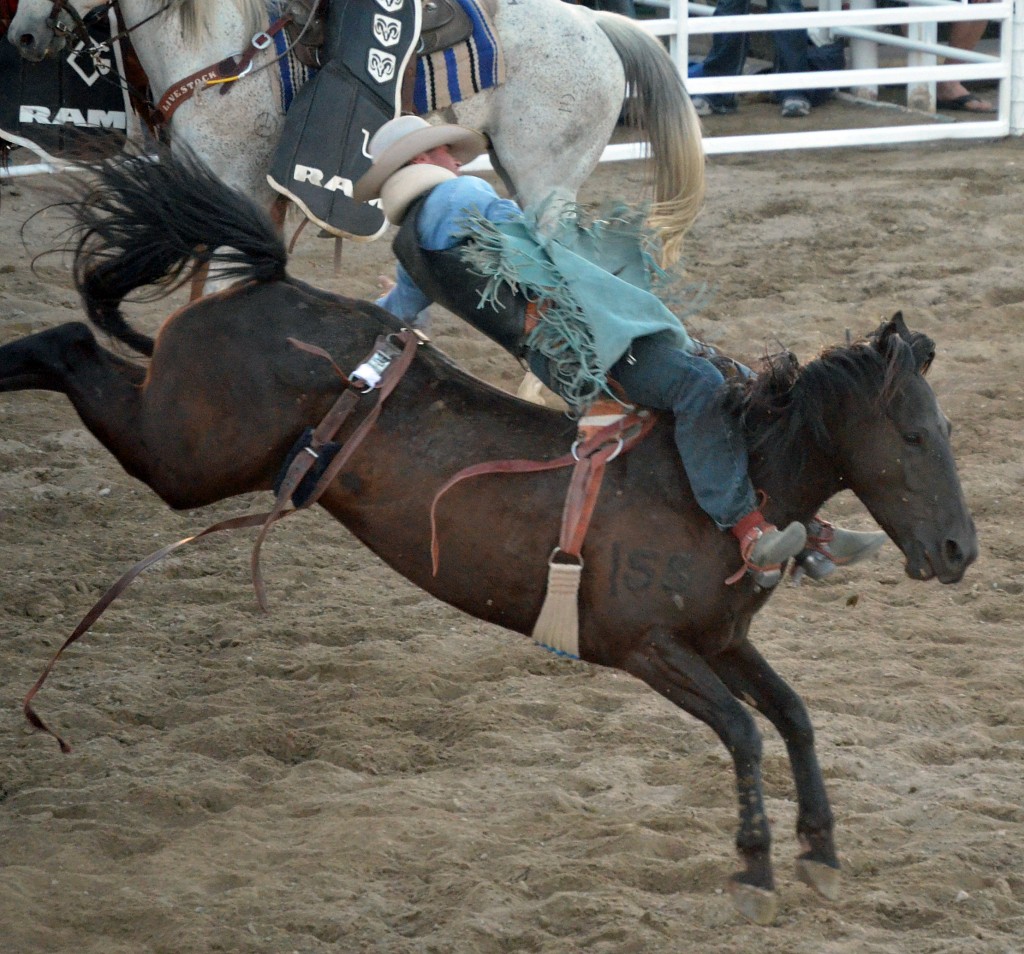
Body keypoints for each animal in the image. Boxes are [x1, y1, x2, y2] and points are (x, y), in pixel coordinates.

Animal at [0, 150, 974, 925]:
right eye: (913, 437)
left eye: (947, 431)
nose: (961, 550)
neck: (727, 480)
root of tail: (271, 285)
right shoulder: (649, 648)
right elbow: (743, 732)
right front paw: (756, 866)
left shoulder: (721, 640)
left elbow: (795, 717)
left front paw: (821, 852)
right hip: (182, 457)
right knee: (64, 343)